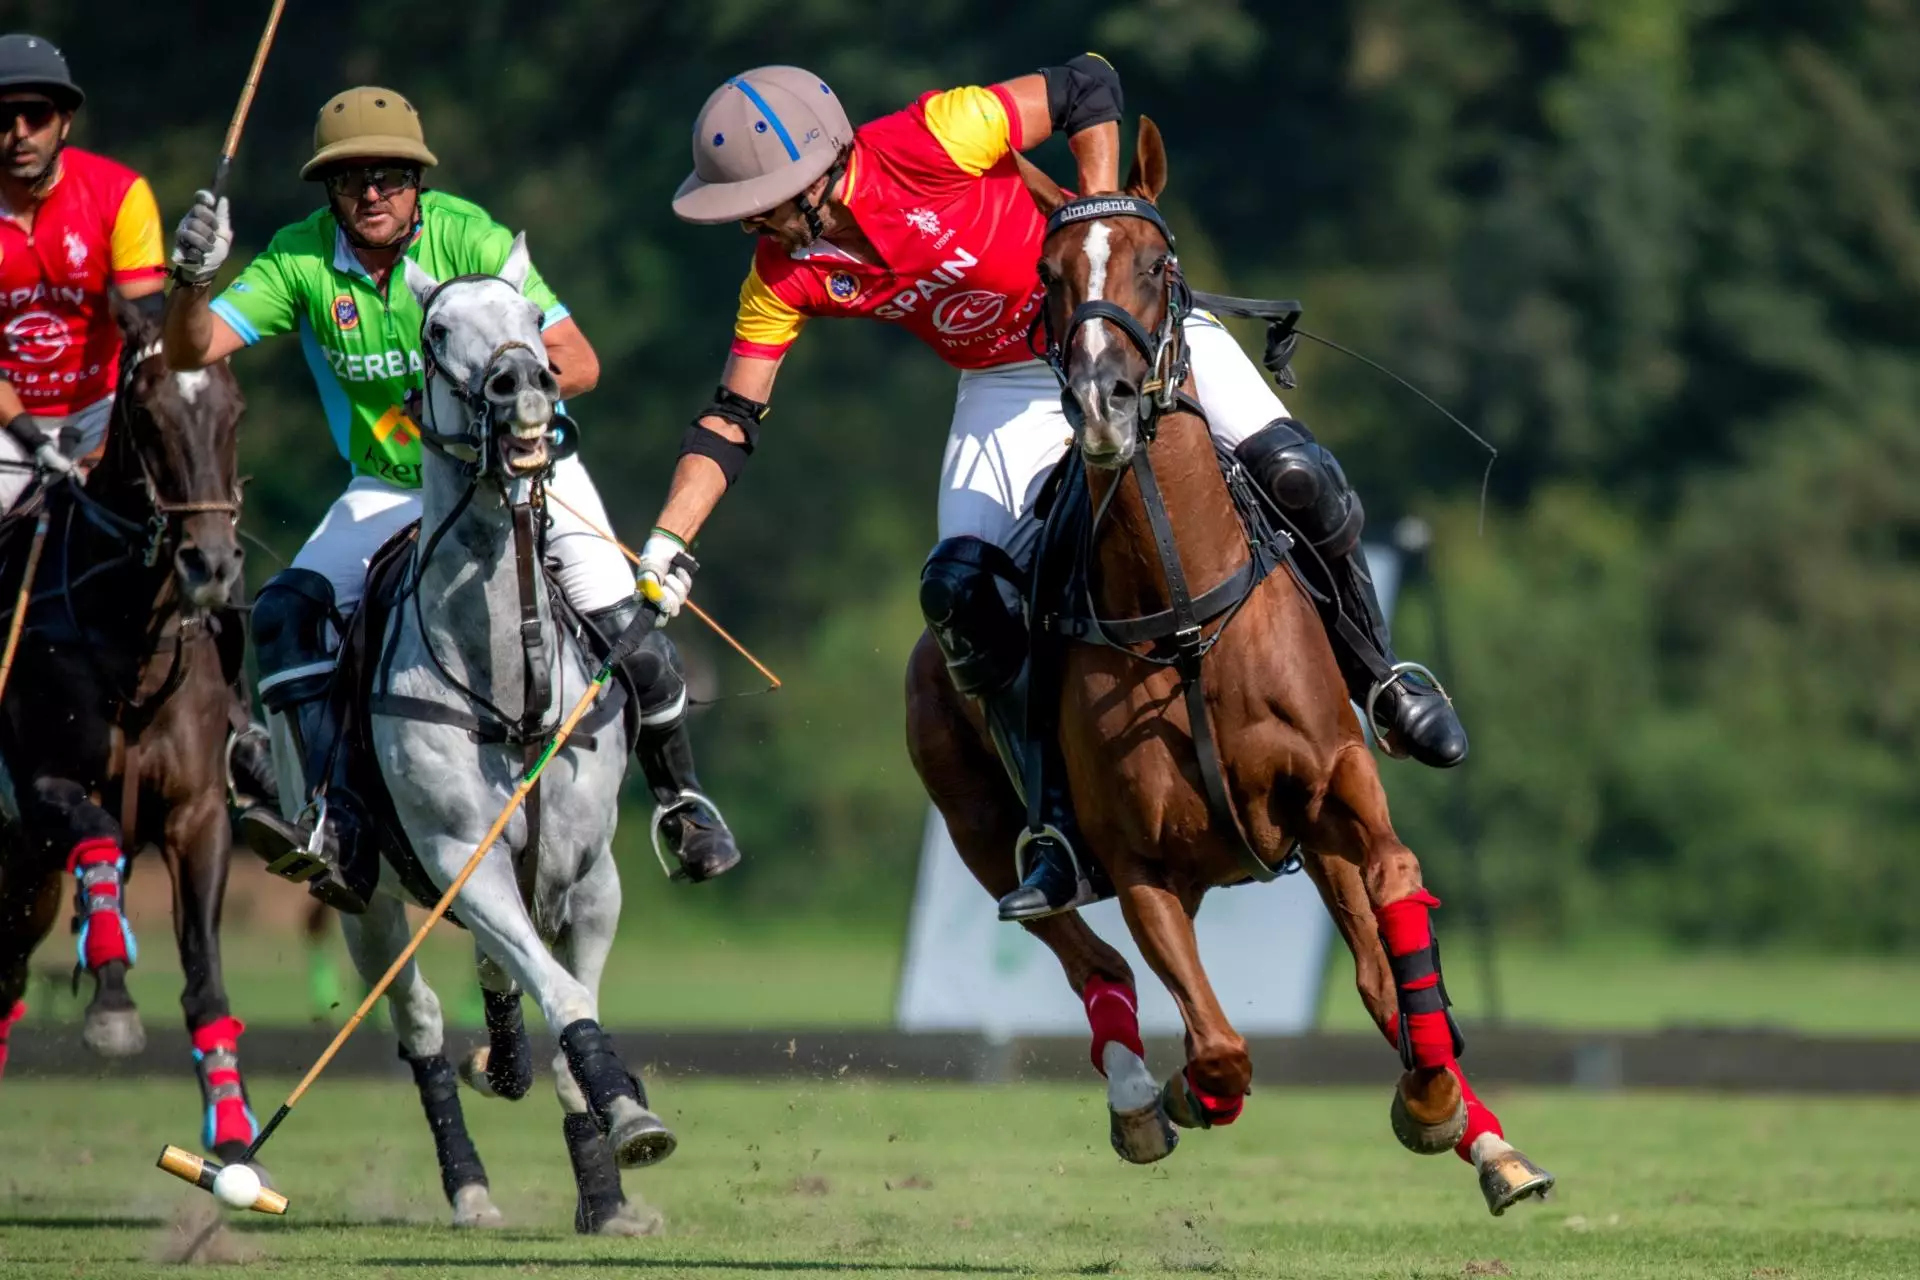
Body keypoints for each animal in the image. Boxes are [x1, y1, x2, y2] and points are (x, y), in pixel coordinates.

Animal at [0, 295, 261, 1166]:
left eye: (234, 411)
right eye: (145, 415)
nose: (210, 565)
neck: (129, 636)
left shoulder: (199, 813)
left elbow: (206, 977)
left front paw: (233, 1130)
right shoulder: (41, 784)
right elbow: (102, 832)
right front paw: (111, 984)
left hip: (25, 877)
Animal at [326, 237, 672, 1228]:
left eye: (532, 318)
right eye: (438, 329)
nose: (523, 385)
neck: (507, 686)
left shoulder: (589, 875)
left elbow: (566, 1007)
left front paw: (610, 1168)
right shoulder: (459, 857)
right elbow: (558, 994)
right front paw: (625, 1108)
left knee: (493, 978)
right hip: (367, 902)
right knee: (421, 1021)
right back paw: (470, 1184)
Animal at [906, 122, 1551, 1220]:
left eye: (1158, 265)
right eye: (1047, 275)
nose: (1102, 402)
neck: (1183, 608)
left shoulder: (1340, 791)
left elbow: (1399, 918)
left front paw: (1435, 1104)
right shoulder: (1138, 864)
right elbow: (1218, 1051)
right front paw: (1180, 1094)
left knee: (1375, 975)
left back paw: (1490, 1145)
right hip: (980, 821)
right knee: (1084, 947)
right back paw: (1135, 1097)